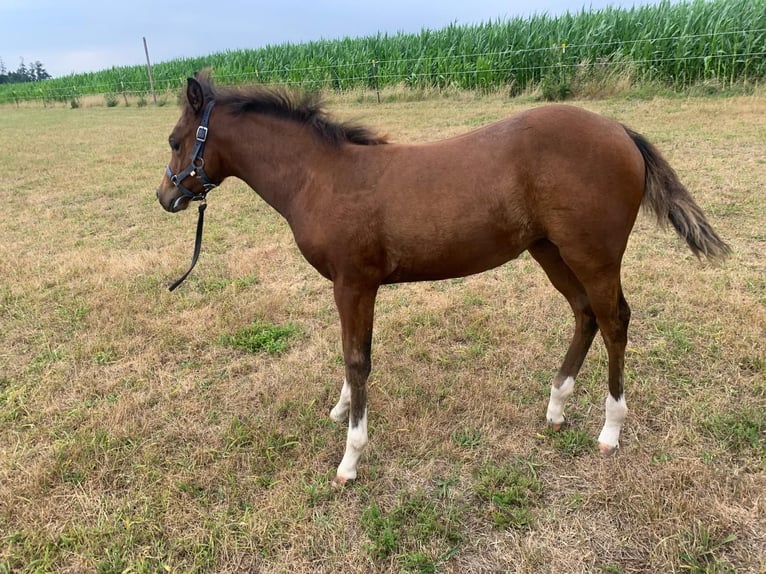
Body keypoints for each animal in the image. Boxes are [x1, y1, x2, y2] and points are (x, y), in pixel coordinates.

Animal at [154, 71, 732, 486]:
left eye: (176, 140)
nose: (165, 197)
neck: (322, 177)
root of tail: (620, 131)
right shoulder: (352, 287)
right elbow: (352, 353)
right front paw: (341, 409)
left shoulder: (354, 283)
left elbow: (357, 359)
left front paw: (350, 459)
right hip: (549, 251)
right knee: (586, 314)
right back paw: (556, 406)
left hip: (595, 256)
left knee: (615, 322)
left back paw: (610, 428)